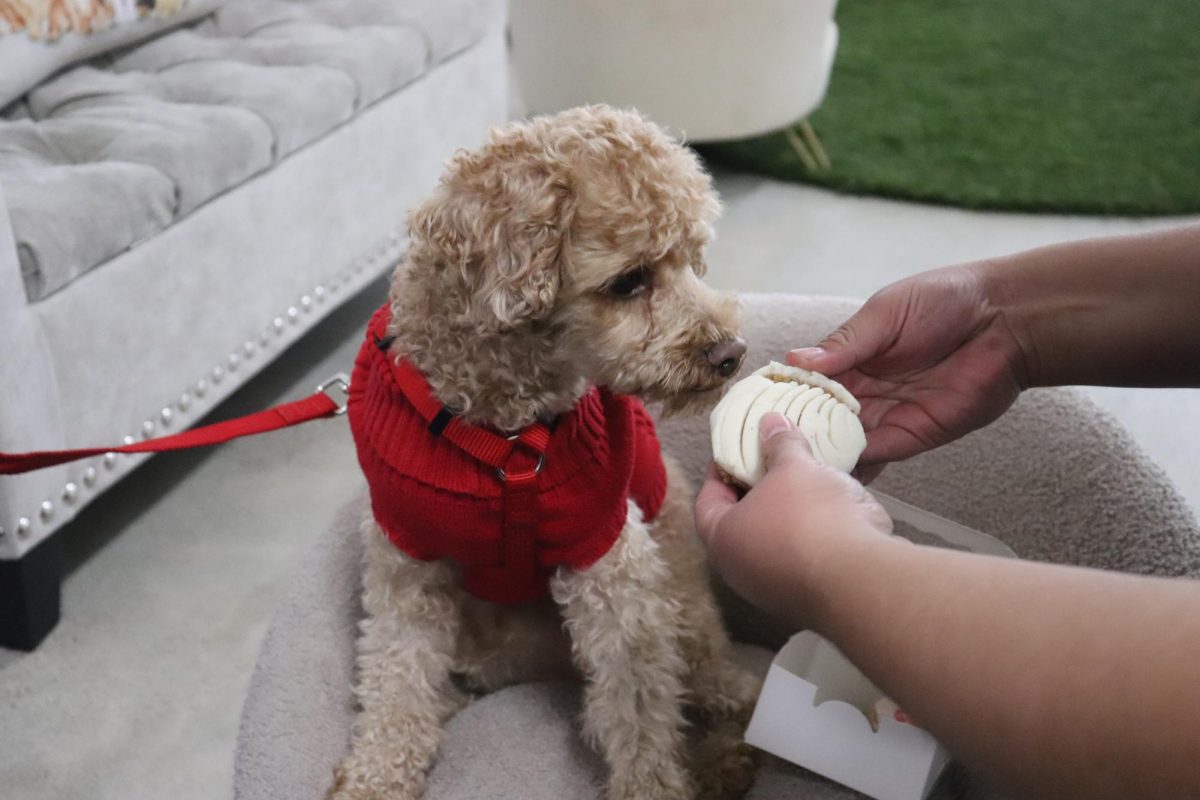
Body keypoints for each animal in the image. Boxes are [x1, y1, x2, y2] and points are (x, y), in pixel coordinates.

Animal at [328, 106, 758, 800]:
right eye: (630, 281)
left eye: (695, 260)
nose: (731, 353)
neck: (502, 434)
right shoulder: (405, 554)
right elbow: (396, 670)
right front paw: (377, 774)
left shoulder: (610, 559)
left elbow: (640, 706)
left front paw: (653, 786)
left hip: (681, 576)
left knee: (715, 676)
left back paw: (728, 747)